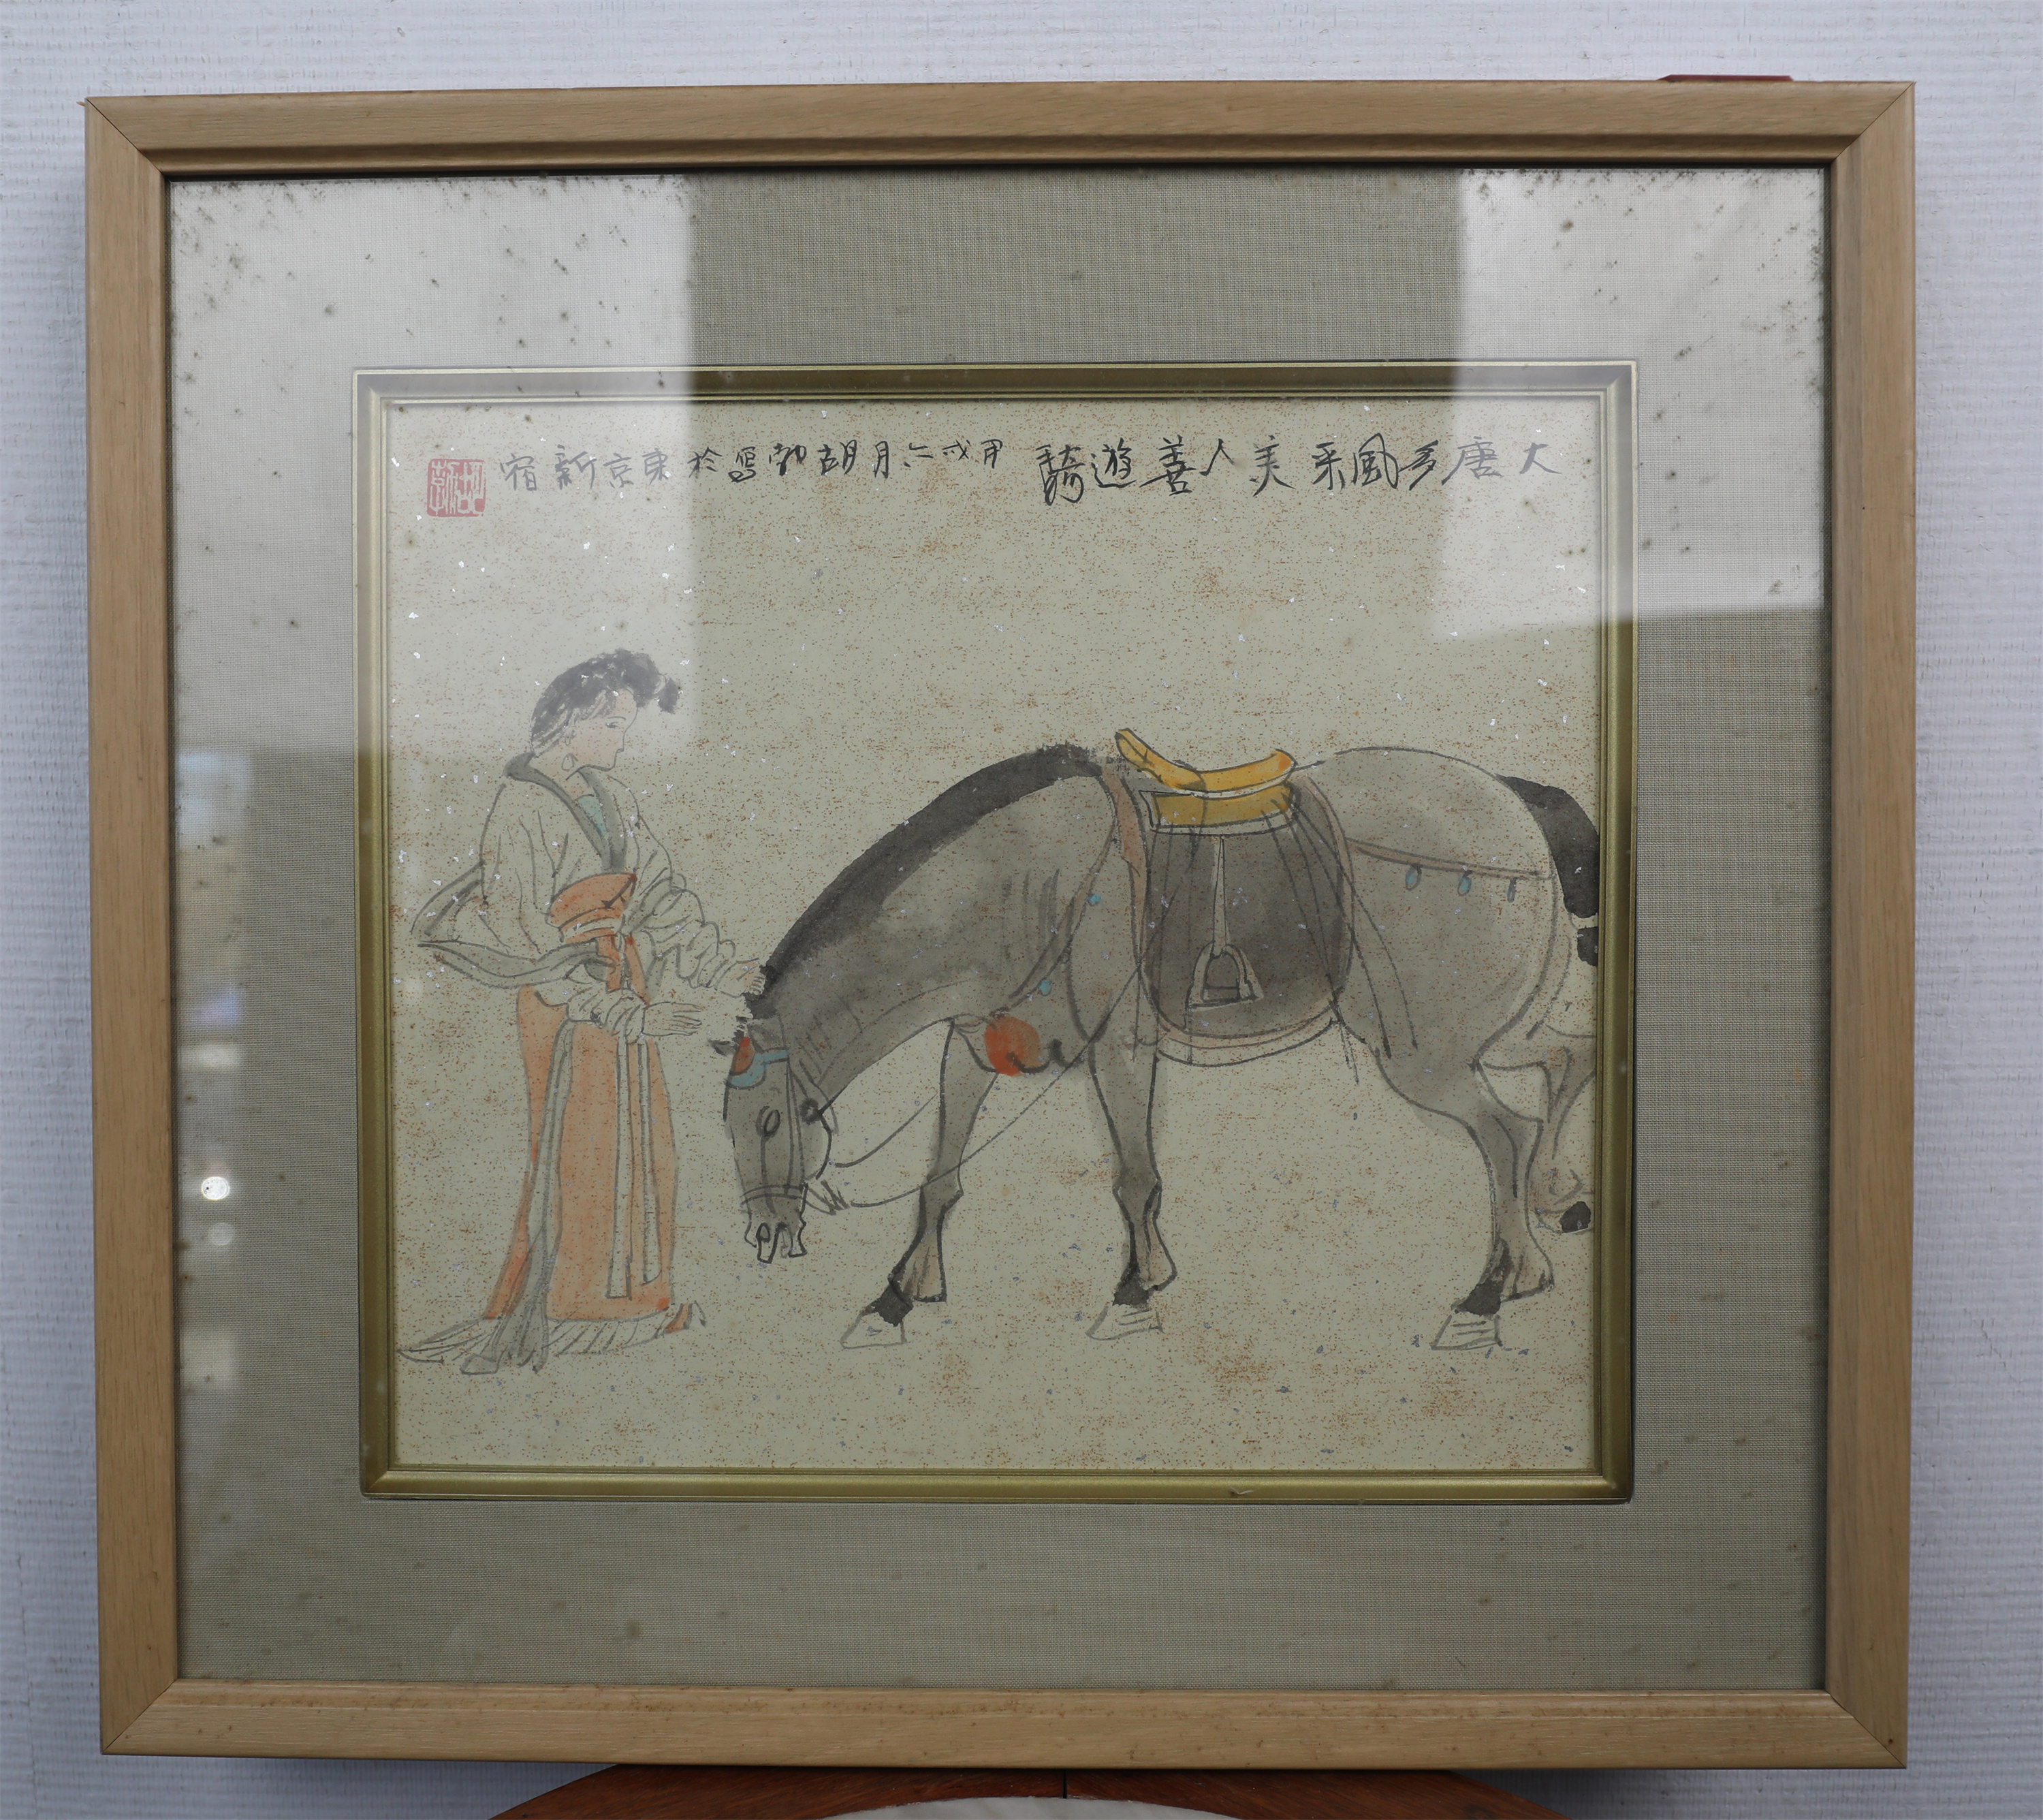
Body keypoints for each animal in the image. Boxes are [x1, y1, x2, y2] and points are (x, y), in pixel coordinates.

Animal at [717, 734, 1601, 1353]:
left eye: (769, 1121)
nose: (765, 1232)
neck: (1022, 883)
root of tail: (1517, 805)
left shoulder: (1121, 1050)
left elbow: (1135, 1177)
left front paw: (1134, 1294)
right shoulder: (970, 1049)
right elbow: (940, 1178)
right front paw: (894, 1299)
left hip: (1425, 1051)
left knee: (1507, 1133)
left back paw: (1487, 1296)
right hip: (1487, 1032)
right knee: (1568, 1058)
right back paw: (1555, 1209)